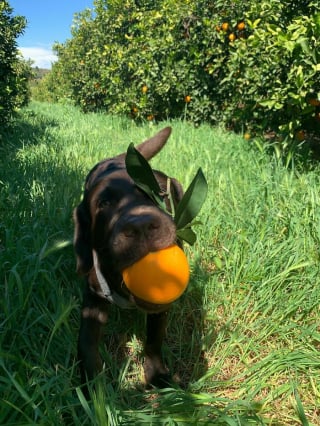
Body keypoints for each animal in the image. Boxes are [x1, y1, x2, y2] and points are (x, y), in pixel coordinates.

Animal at [73, 126, 186, 390]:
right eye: (104, 203)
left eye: (160, 193)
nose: (141, 225)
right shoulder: (93, 299)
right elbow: (86, 343)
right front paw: (92, 386)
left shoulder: (160, 308)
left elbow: (154, 340)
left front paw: (156, 375)